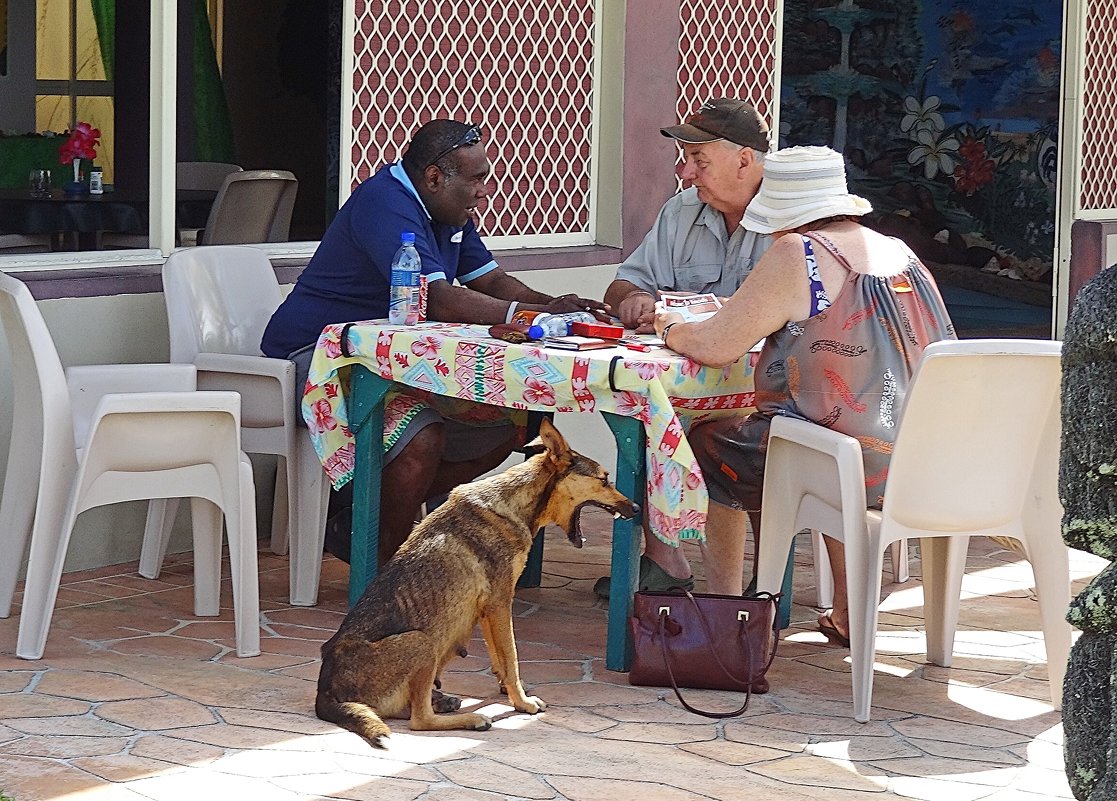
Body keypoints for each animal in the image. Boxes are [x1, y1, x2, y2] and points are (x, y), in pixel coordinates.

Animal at [314, 417, 638, 750]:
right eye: (605, 479)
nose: (638, 509)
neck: (517, 502)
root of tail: (326, 694)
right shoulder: (501, 602)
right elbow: (512, 658)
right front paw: (522, 702)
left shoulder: (487, 610)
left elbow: (501, 657)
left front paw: (508, 691)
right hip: (421, 641)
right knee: (419, 720)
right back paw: (472, 718)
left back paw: (444, 700)